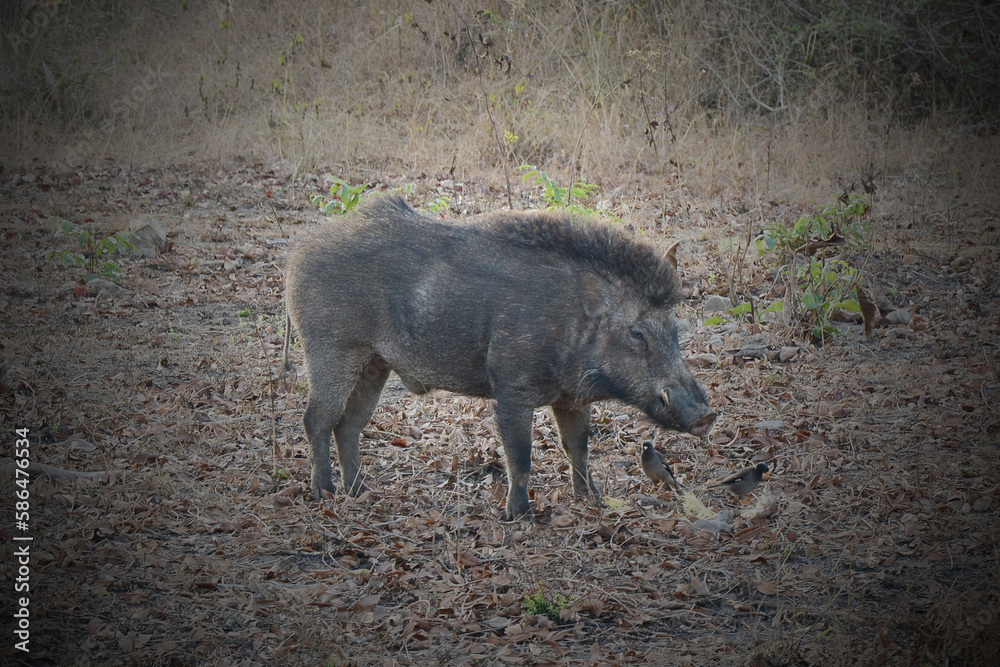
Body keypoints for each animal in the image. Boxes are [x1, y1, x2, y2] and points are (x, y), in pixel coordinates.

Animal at [284, 195, 716, 518]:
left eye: (674, 329)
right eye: (637, 333)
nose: (707, 416)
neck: (569, 324)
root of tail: (300, 251)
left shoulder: (571, 399)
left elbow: (577, 449)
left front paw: (590, 500)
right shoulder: (512, 391)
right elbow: (520, 458)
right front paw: (520, 515)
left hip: (375, 364)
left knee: (349, 425)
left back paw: (358, 492)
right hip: (331, 349)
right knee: (317, 420)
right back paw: (325, 493)